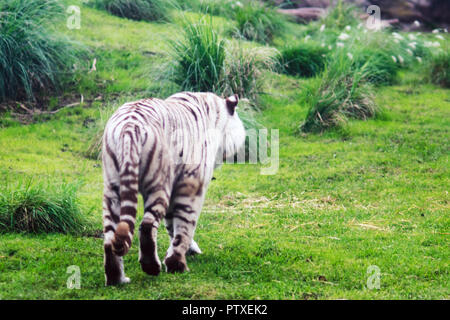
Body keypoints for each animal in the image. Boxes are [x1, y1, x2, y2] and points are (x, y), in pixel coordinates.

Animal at [101, 91, 244, 284]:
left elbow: (172, 225)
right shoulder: (192, 186)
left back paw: (117, 279)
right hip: (158, 184)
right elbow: (185, 226)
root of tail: (130, 126)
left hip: (113, 189)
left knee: (110, 237)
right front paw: (177, 264)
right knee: (147, 225)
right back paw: (152, 267)